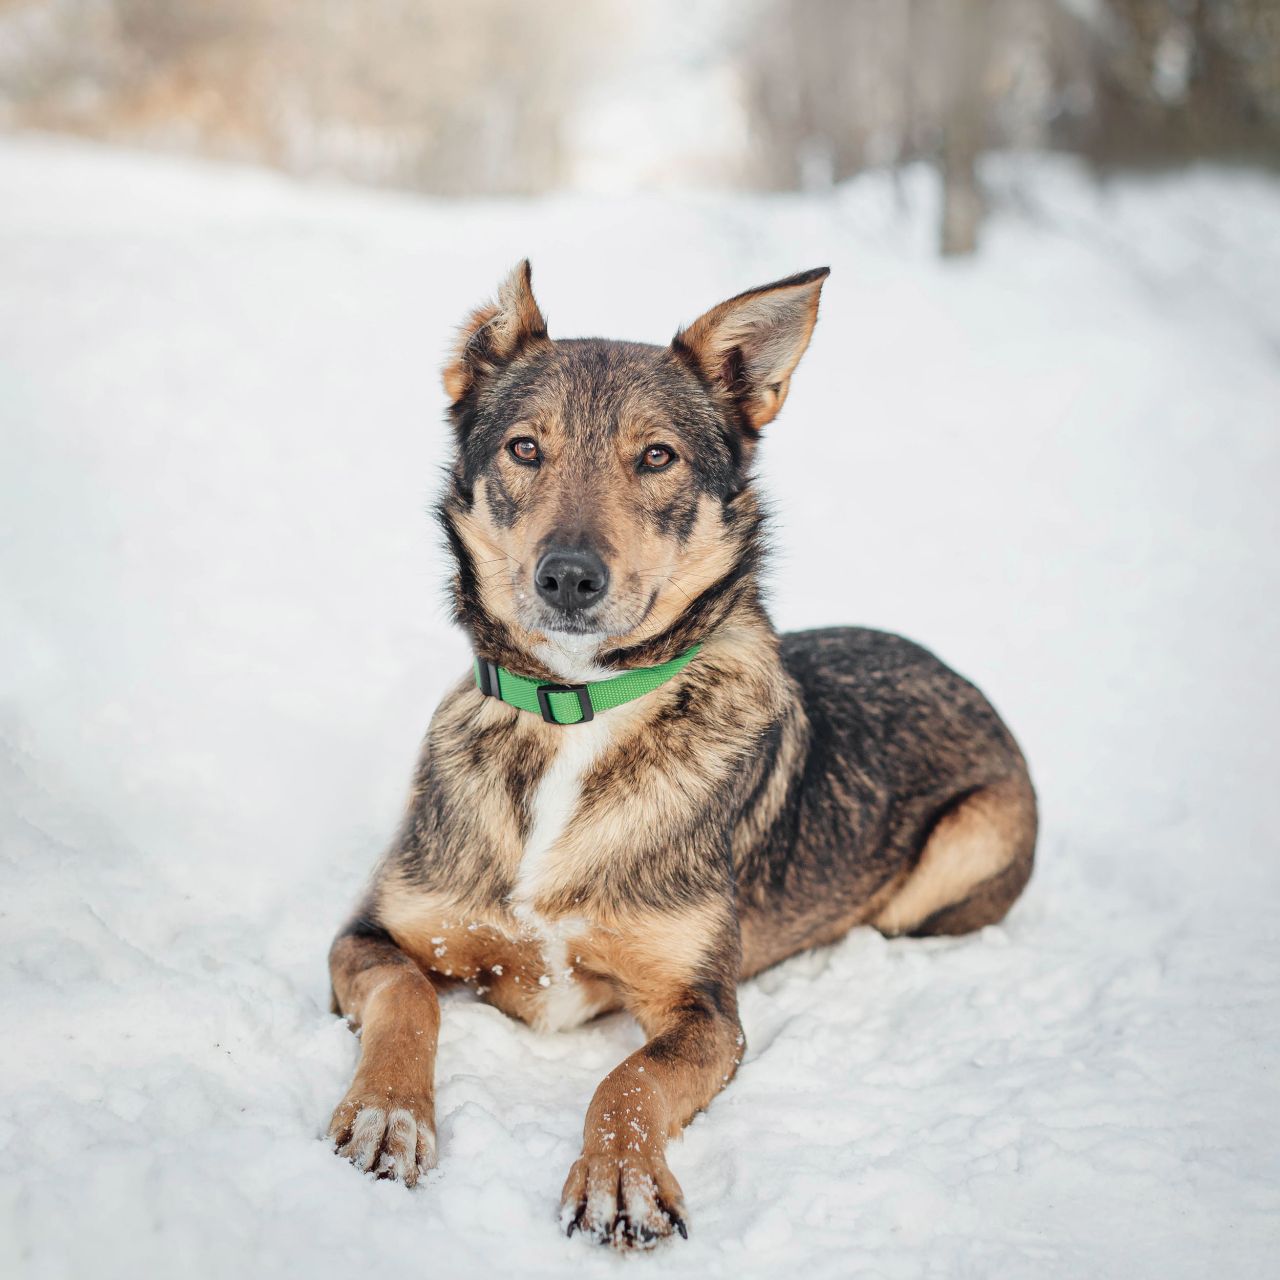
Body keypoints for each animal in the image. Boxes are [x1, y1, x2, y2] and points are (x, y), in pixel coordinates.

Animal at [325, 262, 1034, 1249]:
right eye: (524, 449)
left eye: (657, 458)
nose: (568, 576)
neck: (575, 712)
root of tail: (953, 668)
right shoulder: (374, 933)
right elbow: (409, 996)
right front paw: (391, 1111)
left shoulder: (705, 1011)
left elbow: (630, 1078)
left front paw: (620, 1175)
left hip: (961, 852)